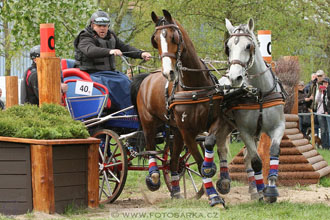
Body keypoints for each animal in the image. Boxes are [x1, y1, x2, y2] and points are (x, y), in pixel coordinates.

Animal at [130, 9, 231, 206]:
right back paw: (153, 177)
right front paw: (214, 196)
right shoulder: (187, 131)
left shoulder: (213, 122)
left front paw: (219, 179)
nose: (168, 72)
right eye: (155, 40)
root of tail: (147, 77)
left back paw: (176, 190)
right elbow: (200, 163)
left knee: (174, 160)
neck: (194, 86)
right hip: (149, 123)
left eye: (174, 37)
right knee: (151, 147)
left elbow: (210, 143)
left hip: (175, 130)